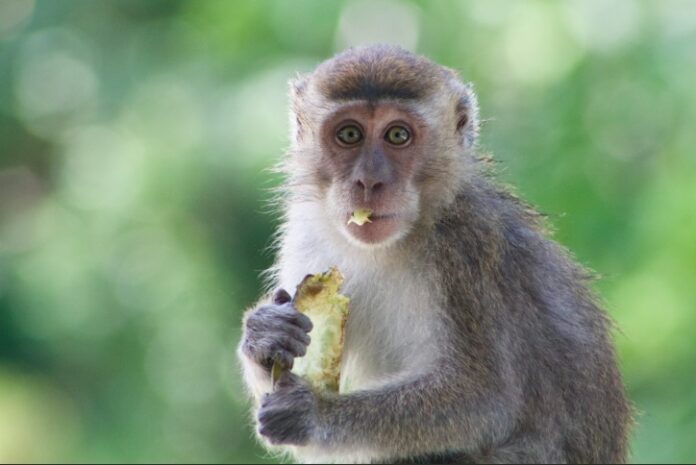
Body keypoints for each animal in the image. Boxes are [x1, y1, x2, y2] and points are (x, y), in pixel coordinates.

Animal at [237, 45, 632, 464]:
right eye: (349, 134)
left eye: (397, 135)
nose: (369, 182)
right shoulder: (306, 233)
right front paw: (265, 336)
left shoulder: (465, 248)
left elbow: (485, 397)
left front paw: (316, 414)